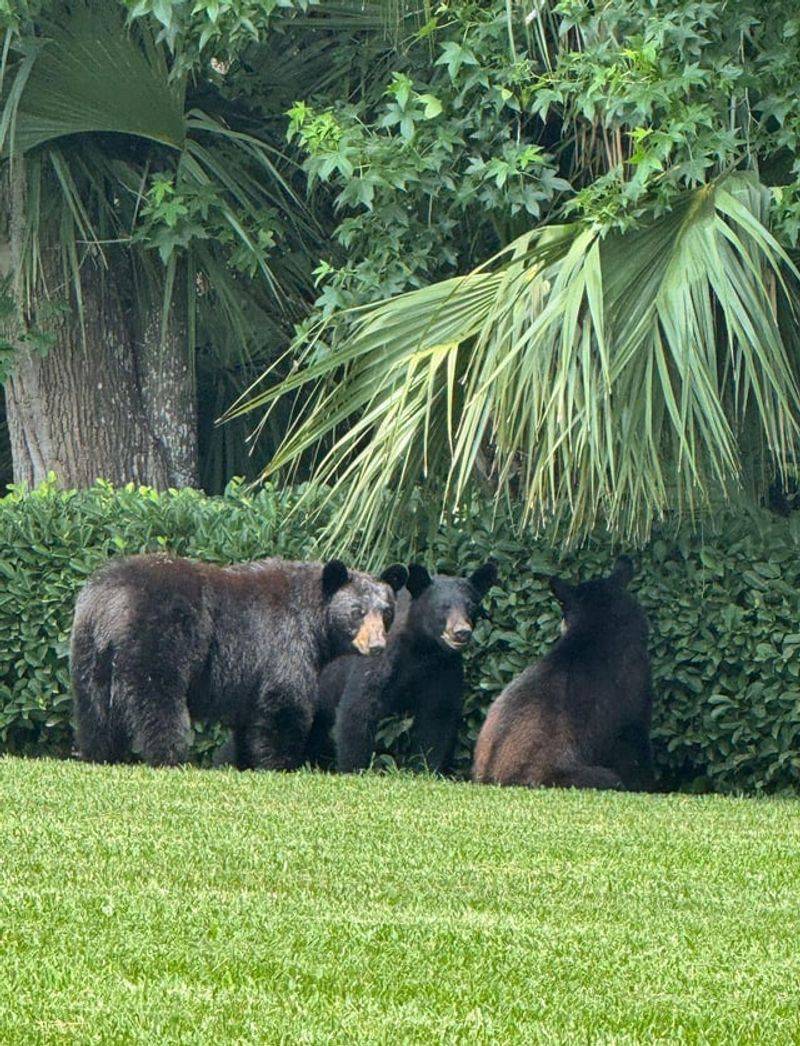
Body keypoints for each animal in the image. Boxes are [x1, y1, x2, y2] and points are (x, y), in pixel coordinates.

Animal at [70, 554, 407, 770]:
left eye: (386, 612)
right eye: (357, 612)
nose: (377, 646)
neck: (313, 619)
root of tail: (109, 602)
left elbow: (250, 716)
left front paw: (244, 760)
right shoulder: (282, 640)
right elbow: (285, 701)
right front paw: (282, 763)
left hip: (89, 650)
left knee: (94, 707)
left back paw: (101, 753)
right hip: (157, 638)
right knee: (158, 699)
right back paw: (170, 756)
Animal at [323, 561, 498, 774]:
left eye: (471, 605)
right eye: (442, 606)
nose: (461, 632)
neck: (423, 649)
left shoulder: (443, 668)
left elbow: (438, 716)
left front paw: (426, 768)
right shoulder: (380, 660)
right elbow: (358, 707)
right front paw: (354, 769)